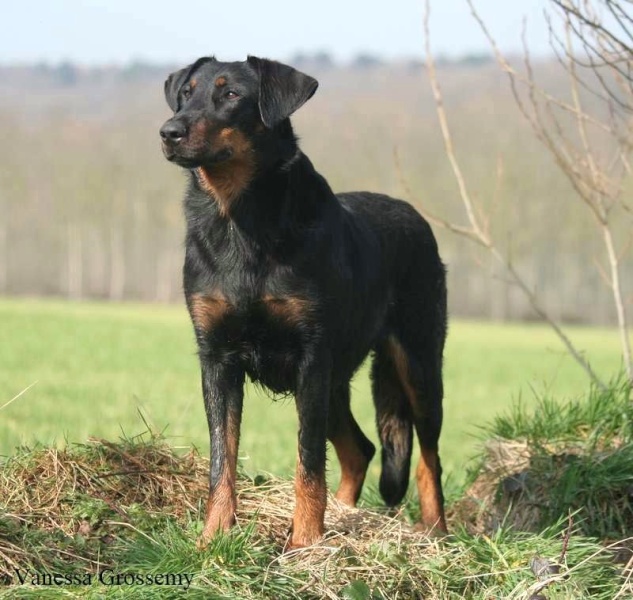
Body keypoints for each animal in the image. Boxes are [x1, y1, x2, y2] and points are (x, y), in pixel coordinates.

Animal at [159, 56, 444, 548]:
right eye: (186, 93)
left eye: (231, 94)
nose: (169, 131)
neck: (240, 219)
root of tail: (417, 218)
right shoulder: (217, 358)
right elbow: (222, 458)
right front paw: (214, 537)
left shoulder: (310, 358)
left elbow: (307, 461)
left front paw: (306, 542)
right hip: (337, 381)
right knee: (360, 449)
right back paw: (349, 515)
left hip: (416, 363)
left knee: (429, 457)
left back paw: (437, 534)